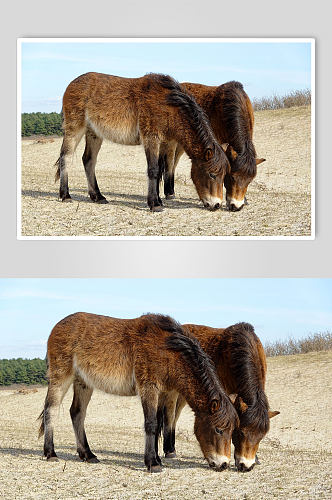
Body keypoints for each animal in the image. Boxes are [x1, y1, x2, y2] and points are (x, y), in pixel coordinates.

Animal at [38, 312, 239, 472]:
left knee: (77, 413)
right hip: (61, 377)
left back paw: (88, 454)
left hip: (83, 383)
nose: (223, 464)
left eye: (232, 431)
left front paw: (157, 459)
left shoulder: (161, 393)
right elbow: (151, 424)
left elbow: (158, 423)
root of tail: (57, 327)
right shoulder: (149, 388)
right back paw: (51, 453)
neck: (168, 350)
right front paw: (153, 463)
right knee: (51, 410)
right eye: (219, 429)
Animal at [55, 72, 230, 211]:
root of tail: (72, 84)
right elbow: (153, 170)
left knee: (89, 161)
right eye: (212, 174)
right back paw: (65, 195)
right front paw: (155, 204)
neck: (169, 105)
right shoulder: (151, 138)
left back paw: (98, 196)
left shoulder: (163, 143)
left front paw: (158, 200)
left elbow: (159, 170)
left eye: (223, 176)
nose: (216, 205)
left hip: (94, 134)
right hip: (75, 129)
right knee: (65, 157)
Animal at [160, 79, 264, 211]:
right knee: (170, 164)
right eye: (232, 177)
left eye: (249, 181)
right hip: (173, 143)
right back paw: (169, 193)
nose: (236, 206)